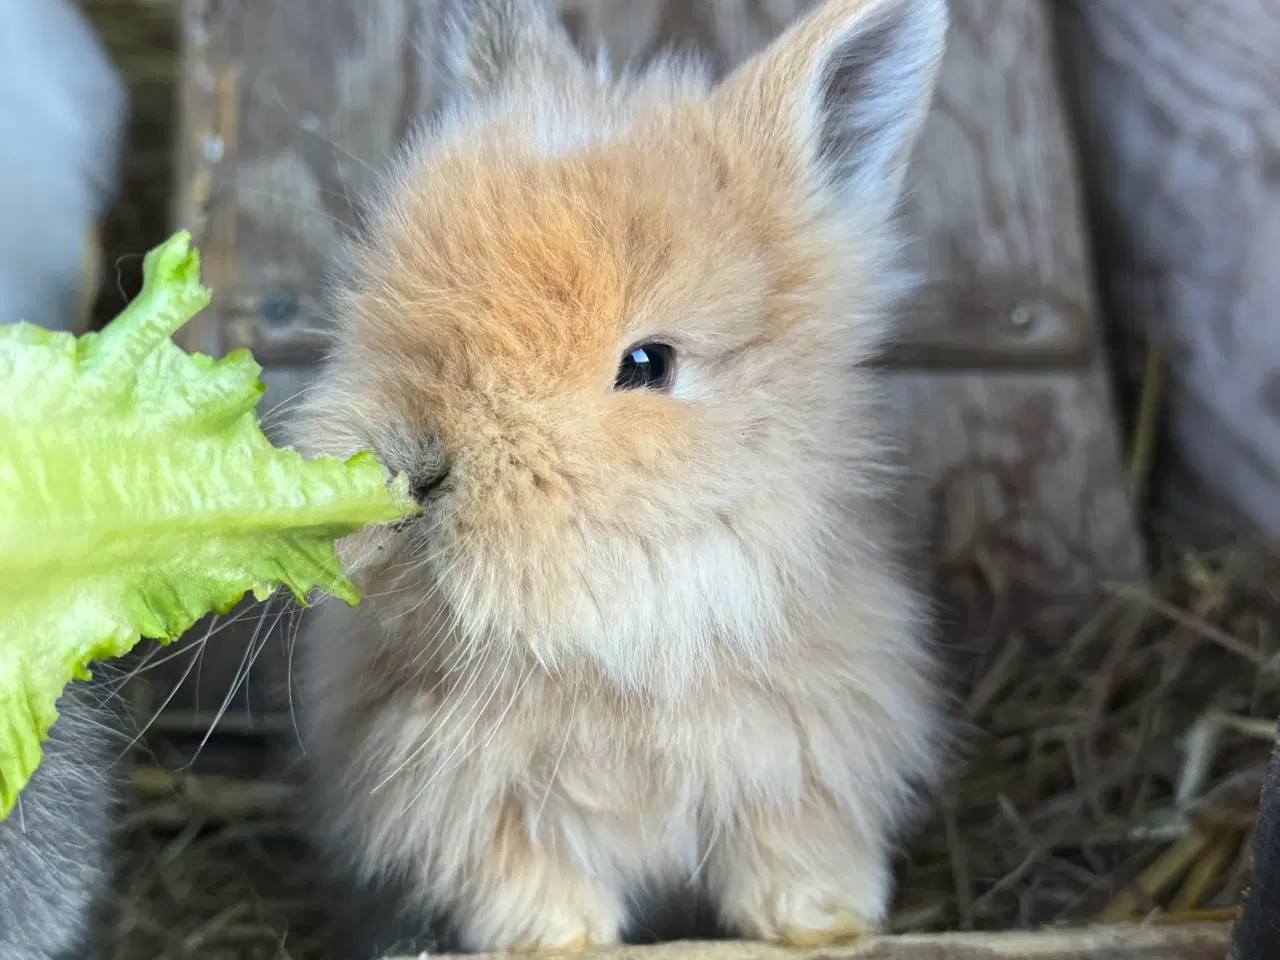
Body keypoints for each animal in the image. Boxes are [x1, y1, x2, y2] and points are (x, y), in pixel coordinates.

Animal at [290, 0, 952, 952]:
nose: (416, 468)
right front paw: (556, 941)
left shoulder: (812, 752)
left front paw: (822, 922)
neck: (626, 638)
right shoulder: (469, 801)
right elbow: (536, 886)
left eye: (648, 363)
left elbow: (793, 851)